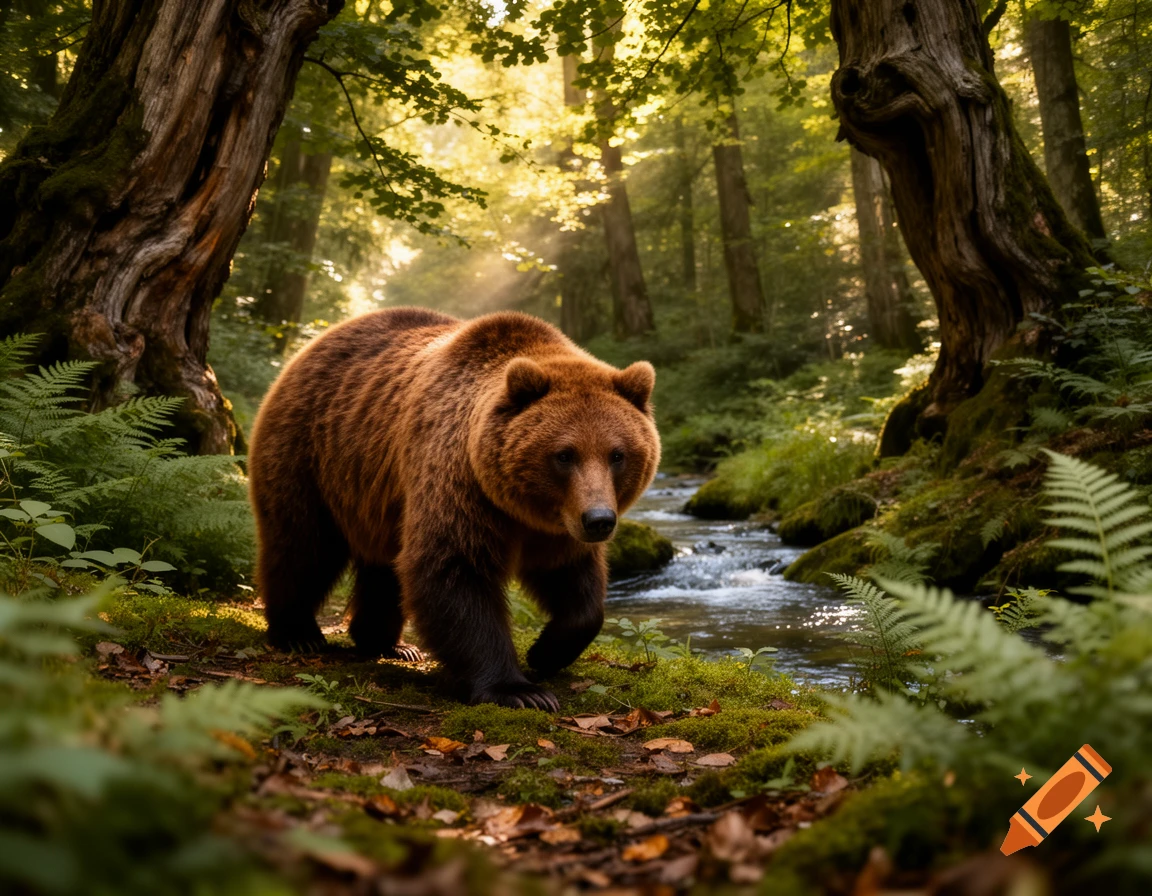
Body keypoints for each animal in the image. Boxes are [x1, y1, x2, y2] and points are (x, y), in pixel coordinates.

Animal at [247, 308, 660, 710]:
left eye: (617, 454)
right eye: (564, 454)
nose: (599, 520)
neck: (518, 505)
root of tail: (310, 348)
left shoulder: (556, 524)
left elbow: (574, 581)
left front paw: (545, 651)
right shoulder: (459, 480)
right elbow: (453, 568)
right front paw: (519, 690)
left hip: (377, 497)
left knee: (383, 567)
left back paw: (389, 643)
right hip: (311, 456)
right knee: (303, 544)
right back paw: (298, 633)